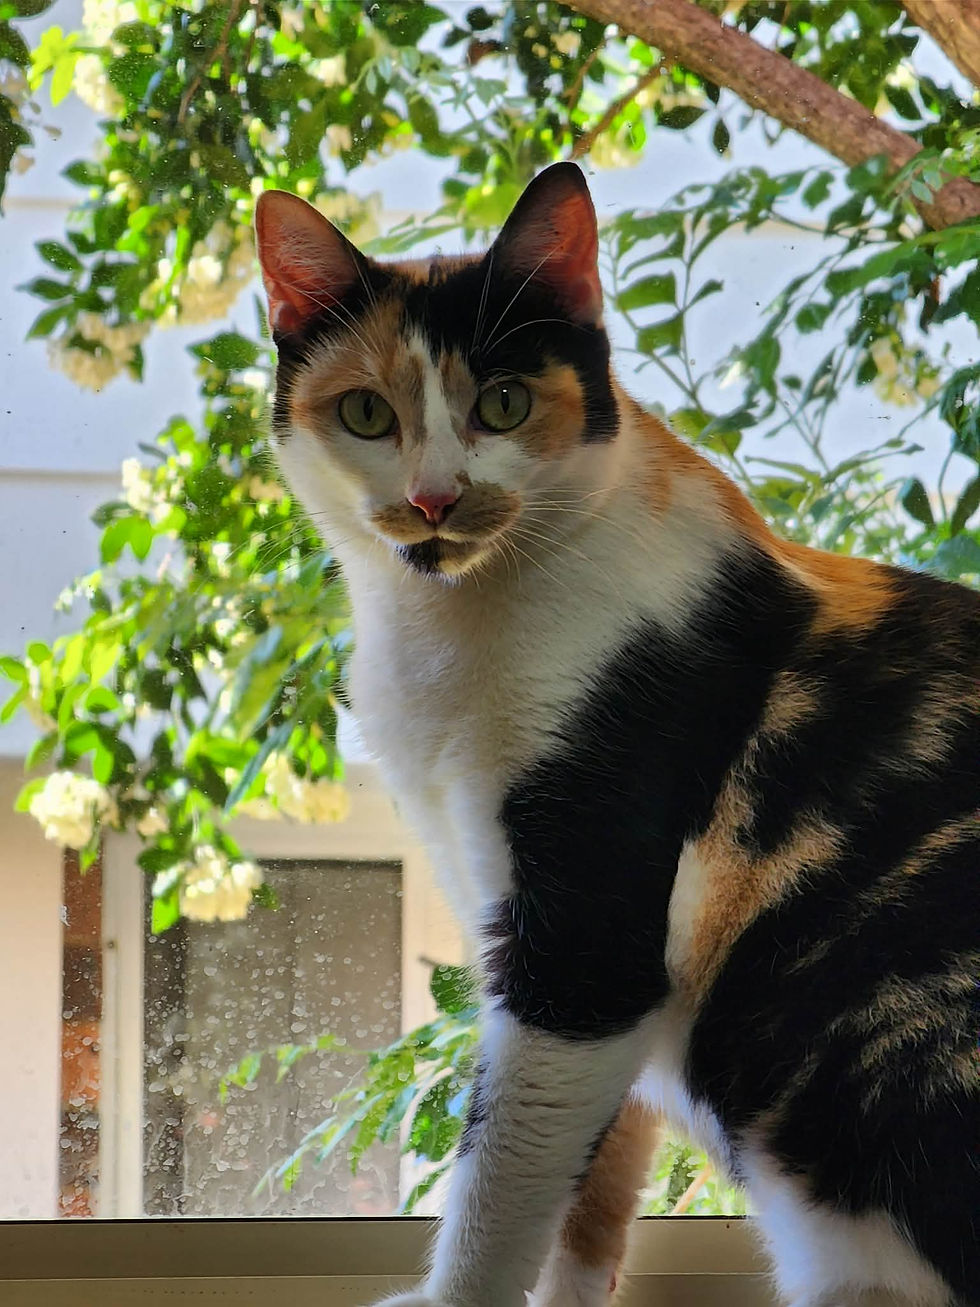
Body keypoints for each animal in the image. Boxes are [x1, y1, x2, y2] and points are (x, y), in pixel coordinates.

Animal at [254, 162, 979, 1307]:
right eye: (365, 412)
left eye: (503, 402)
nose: (432, 498)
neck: (446, 629)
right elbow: (586, 1183)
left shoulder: (583, 929)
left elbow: (503, 1166)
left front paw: (457, 1295)